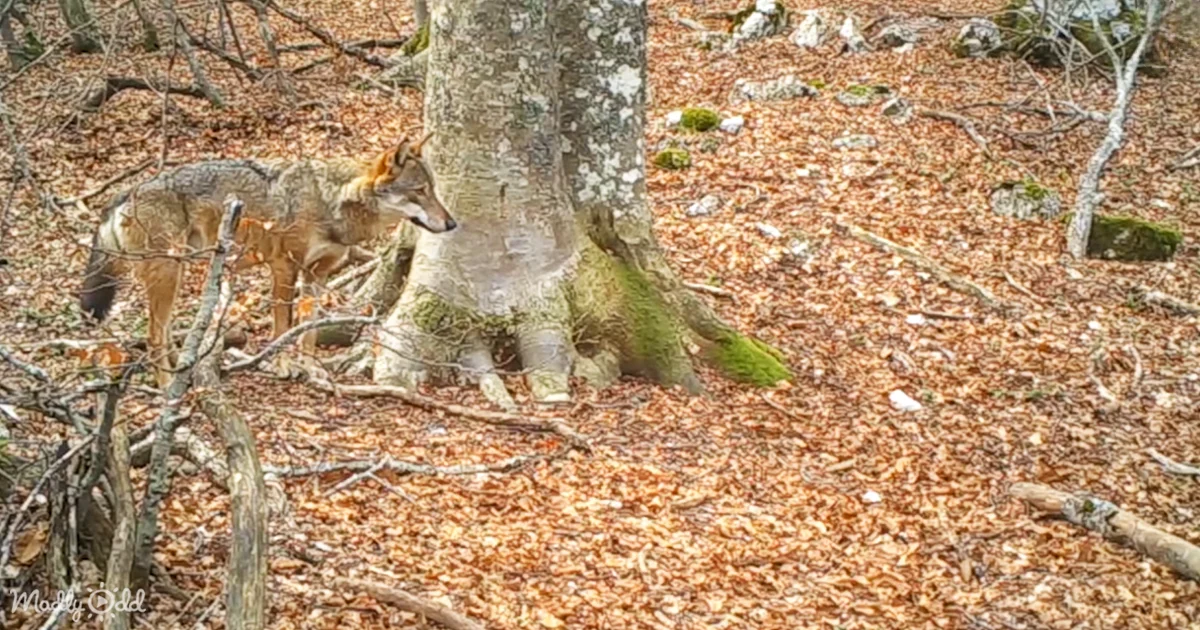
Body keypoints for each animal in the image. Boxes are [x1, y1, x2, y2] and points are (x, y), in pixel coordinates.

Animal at [78, 135, 453, 386]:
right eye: (419, 192)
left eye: (433, 190)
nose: (452, 224)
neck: (330, 202)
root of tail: (126, 191)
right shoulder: (284, 268)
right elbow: (283, 326)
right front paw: (283, 366)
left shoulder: (317, 276)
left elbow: (308, 330)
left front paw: (311, 367)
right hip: (169, 273)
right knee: (155, 335)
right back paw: (168, 386)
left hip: (176, 274)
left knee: (165, 332)